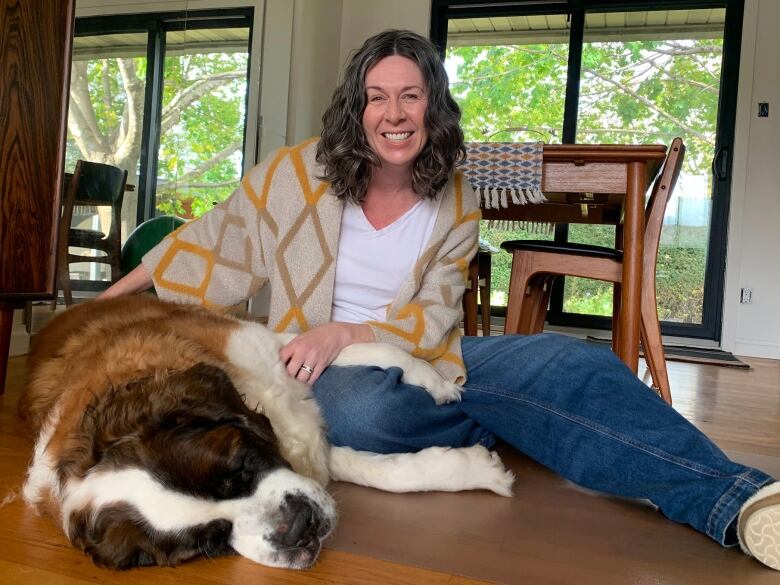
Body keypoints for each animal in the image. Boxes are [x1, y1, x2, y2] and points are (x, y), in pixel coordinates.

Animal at [18, 294, 516, 568]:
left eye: (239, 467)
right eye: (212, 541)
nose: (296, 530)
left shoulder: (274, 350)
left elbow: (373, 349)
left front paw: (437, 383)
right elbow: (385, 470)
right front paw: (476, 469)